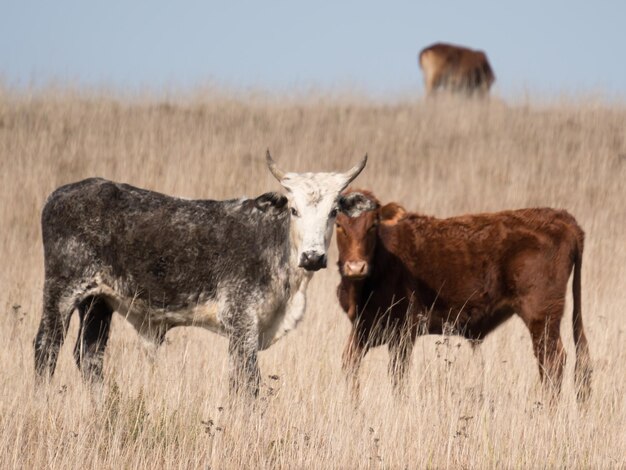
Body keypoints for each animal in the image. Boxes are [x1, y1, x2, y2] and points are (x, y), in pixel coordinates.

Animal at [34, 152, 370, 394]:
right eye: (294, 210)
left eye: (333, 212)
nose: (313, 256)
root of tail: (59, 194)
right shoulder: (242, 321)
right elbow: (249, 385)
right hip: (62, 291)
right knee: (46, 348)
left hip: (98, 302)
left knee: (89, 356)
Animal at [334, 191, 588, 404]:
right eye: (338, 225)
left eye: (372, 225)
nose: (355, 267)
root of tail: (561, 218)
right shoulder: (363, 327)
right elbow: (349, 363)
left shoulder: (402, 332)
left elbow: (398, 375)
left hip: (541, 317)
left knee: (551, 361)